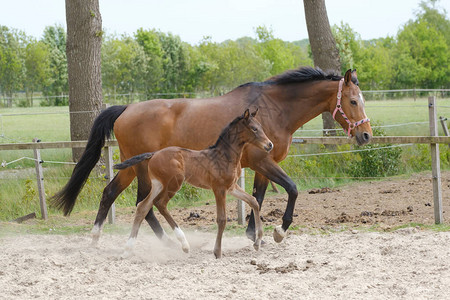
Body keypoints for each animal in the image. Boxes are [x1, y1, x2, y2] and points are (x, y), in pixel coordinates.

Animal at [114, 109, 272, 258]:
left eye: (261, 127)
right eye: (254, 129)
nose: (269, 145)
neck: (225, 156)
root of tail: (153, 154)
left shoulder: (232, 187)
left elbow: (253, 201)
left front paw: (257, 243)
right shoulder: (219, 189)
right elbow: (222, 219)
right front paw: (217, 252)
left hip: (158, 184)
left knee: (143, 207)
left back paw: (127, 250)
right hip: (174, 183)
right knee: (160, 203)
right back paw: (184, 244)